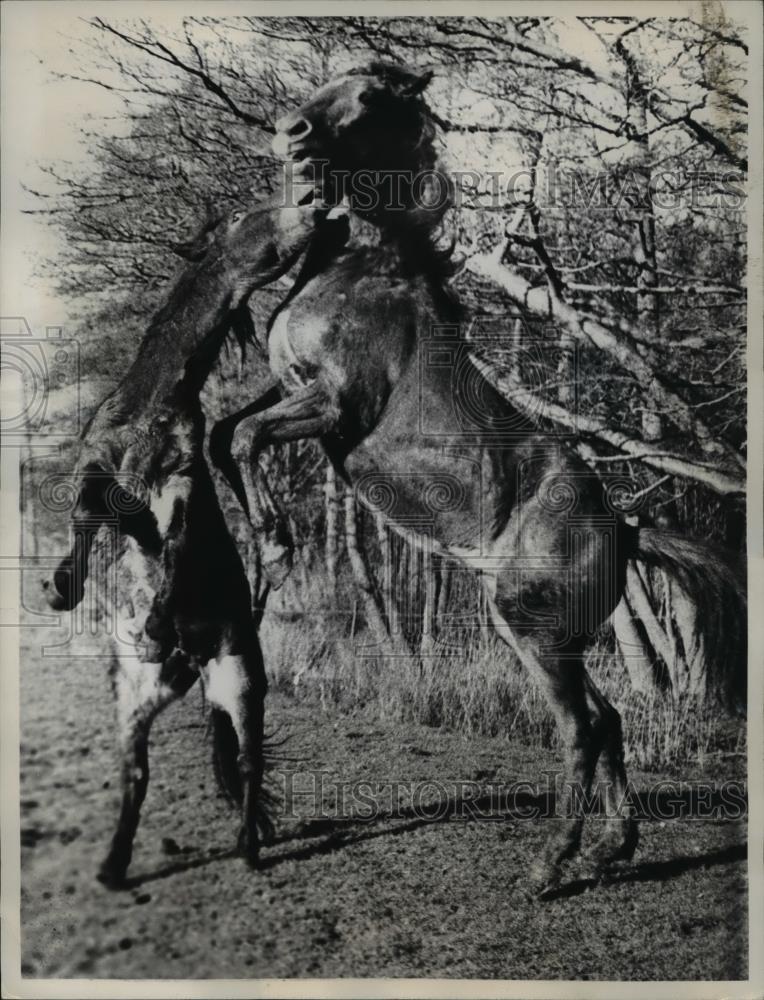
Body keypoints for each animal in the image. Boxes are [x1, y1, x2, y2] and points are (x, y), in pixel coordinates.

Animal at [41, 189, 324, 884]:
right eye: (241, 218)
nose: (311, 205)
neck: (153, 403)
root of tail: (194, 664)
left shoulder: (181, 483)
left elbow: (172, 547)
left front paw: (155, 618)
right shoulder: (99, 464)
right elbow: (89, 515)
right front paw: (63, 586)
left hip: (243, 683)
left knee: (246, 763)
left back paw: (249, 847)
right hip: (134, 701)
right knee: (136, 775)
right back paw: (113, 866)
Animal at [210, 62, 748, 896]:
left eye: (369, 96)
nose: (290, 133)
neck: (367, 269)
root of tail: (625, 528)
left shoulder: (335, 405)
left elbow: (244, 435)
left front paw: (272, 539)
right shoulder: (292, 390)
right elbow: (222, 433)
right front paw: (255, 539)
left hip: (531, 627)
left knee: (582, 728)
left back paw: (550, 867)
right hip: (546, 634)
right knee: (610, 721)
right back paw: (609, 849)